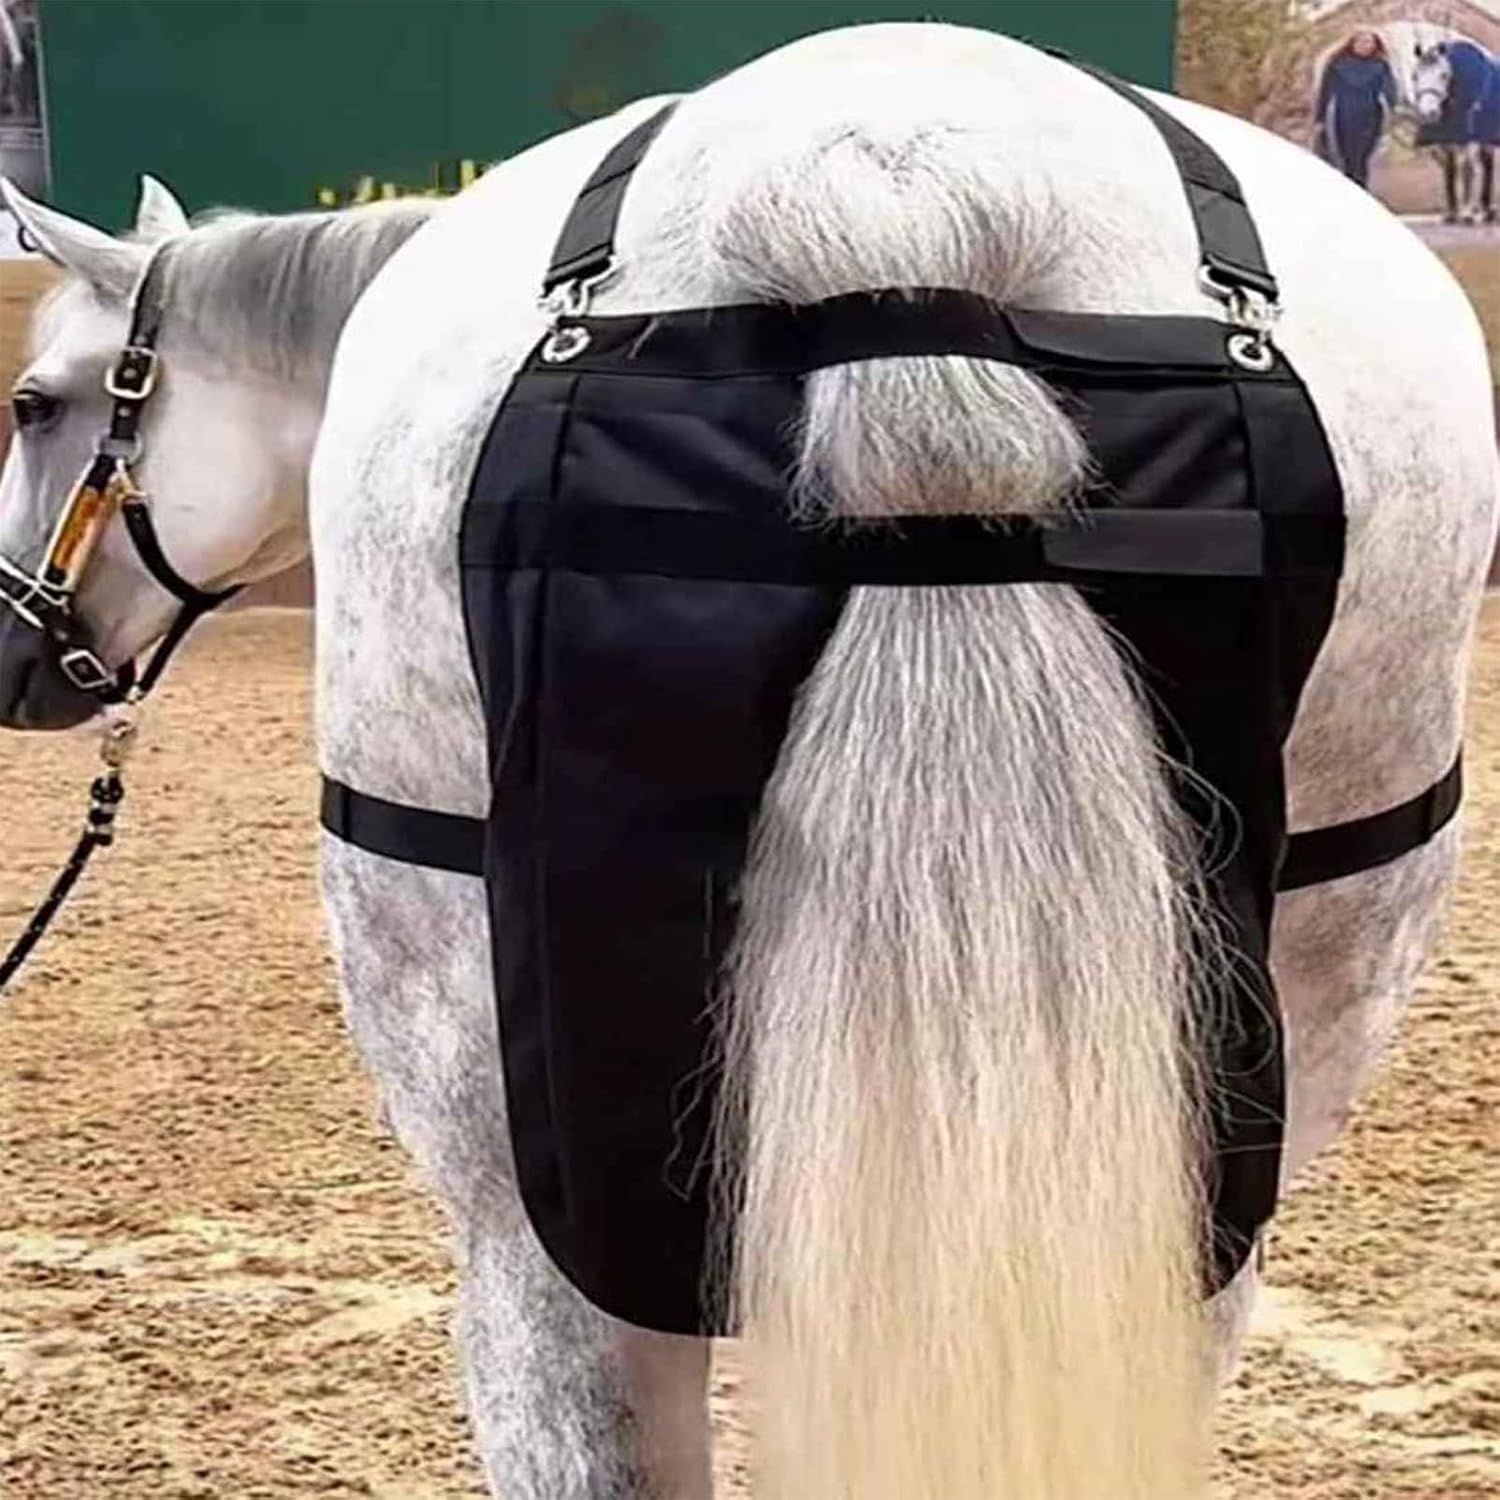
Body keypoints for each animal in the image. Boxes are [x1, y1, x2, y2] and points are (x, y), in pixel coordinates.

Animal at [1412, 35, 1500, 223]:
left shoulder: (1471, 137)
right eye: (1415, 75)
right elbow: (1450, 169)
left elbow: (1467, 168)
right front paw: (1451, 213)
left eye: (1444, 75)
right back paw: (1487, 210)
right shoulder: (1447, 140)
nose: (1429, 113)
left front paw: (1467, 213)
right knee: (1488, 164)